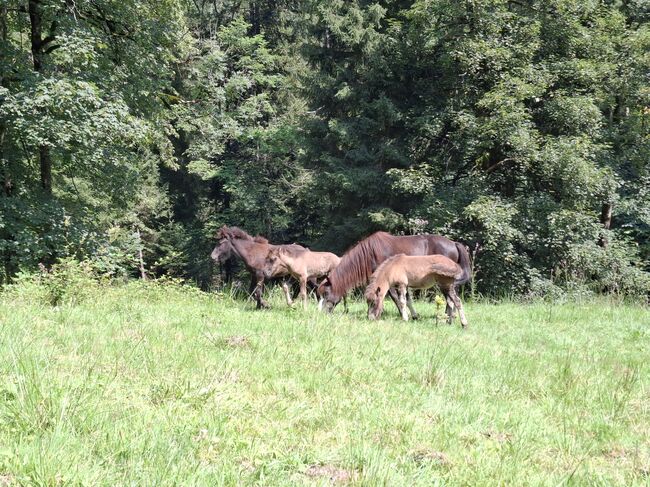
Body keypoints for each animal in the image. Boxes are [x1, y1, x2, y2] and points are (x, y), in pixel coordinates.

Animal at [316, 232, 468, 316]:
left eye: (326, 294)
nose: (322, 313)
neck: (369, 253)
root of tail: (454, 243)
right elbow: (407, 298)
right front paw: (413, 315)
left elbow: (396, 298)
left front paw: (403, 314)